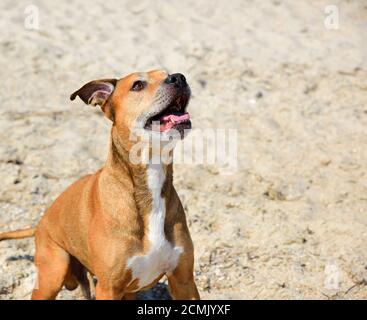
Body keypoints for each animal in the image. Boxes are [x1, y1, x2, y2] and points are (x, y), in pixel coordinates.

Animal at [0, 70, 200, 300]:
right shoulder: (108, 288)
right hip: (53, 273)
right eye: (137, 85)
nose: (179, 78)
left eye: (167, 73)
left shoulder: (184, 281)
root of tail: (40, 224)